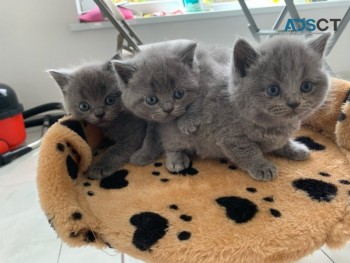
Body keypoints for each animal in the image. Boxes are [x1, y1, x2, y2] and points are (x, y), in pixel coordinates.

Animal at [160, 33, 330, 182]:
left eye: (306, 86)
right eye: (273, 90)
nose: (294, 103)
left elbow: (281, 142)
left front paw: (295, 148)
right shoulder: (230, 136)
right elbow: (248, 151)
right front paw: (262, 167)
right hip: (176, 134)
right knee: (170, 146)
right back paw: (177, 159)